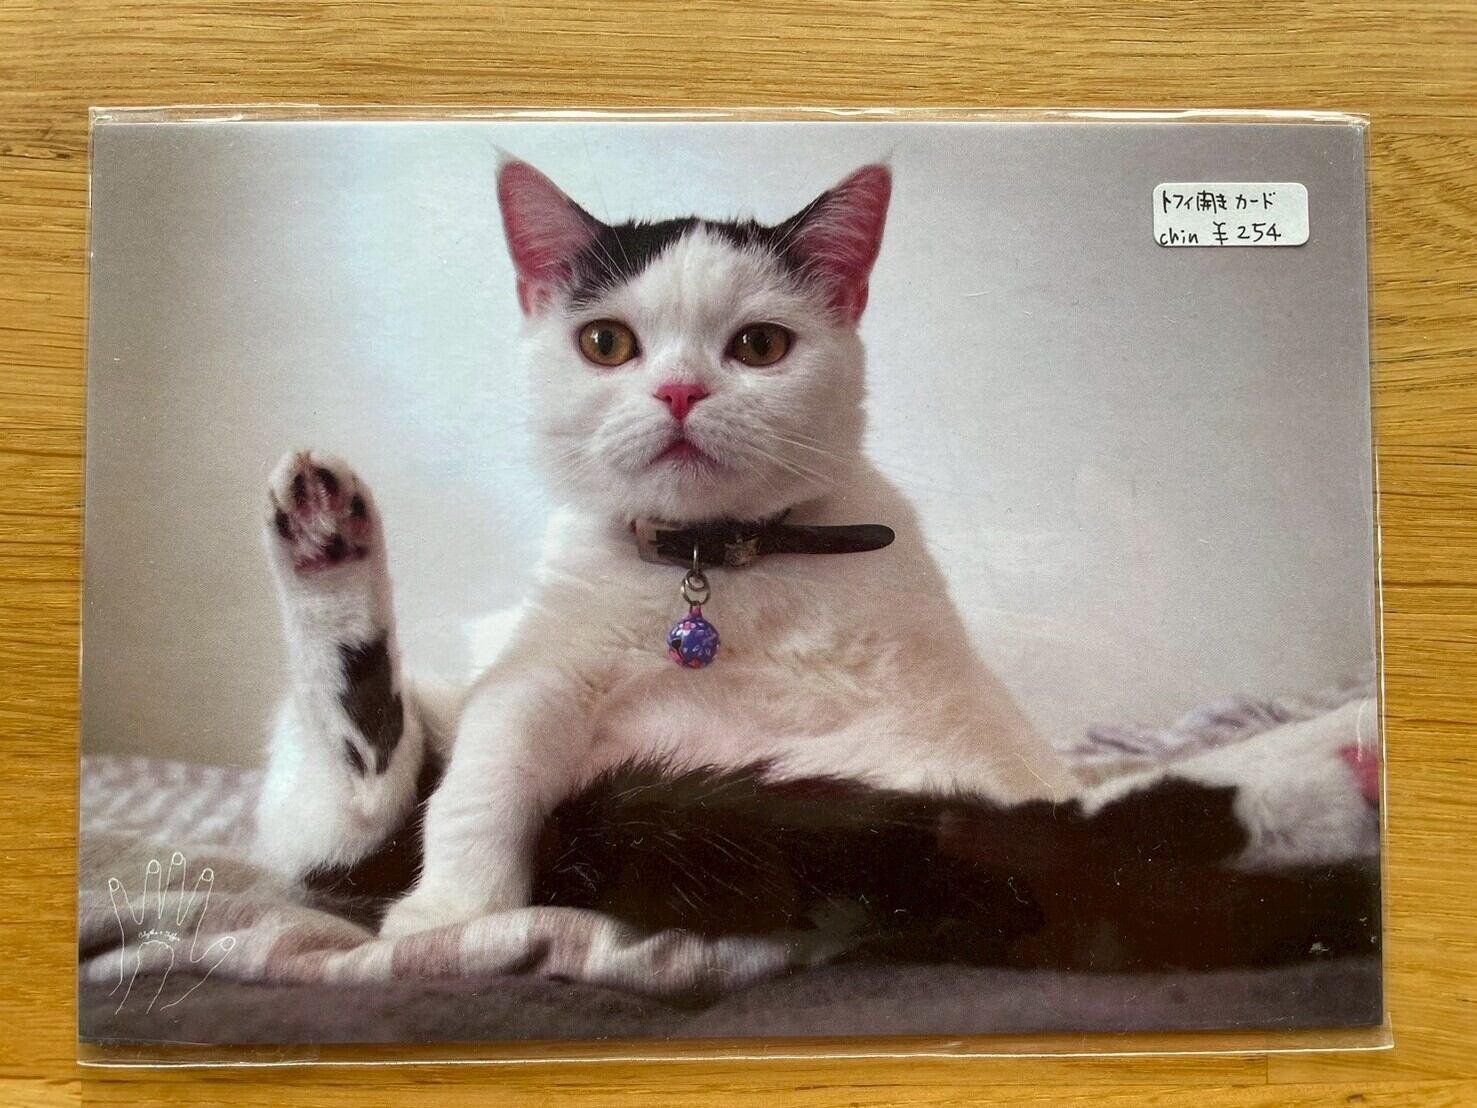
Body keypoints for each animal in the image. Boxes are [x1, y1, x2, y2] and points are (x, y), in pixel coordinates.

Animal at [256, 158, 1378, 952]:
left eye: (759, 346)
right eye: (607, 343)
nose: (678, 391)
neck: (717, 573)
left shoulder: (941, 732)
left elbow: (1022, 830)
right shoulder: (539, 671)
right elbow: (487, 769)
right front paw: (447, 912)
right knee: (366, 801)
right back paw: (323, 539)